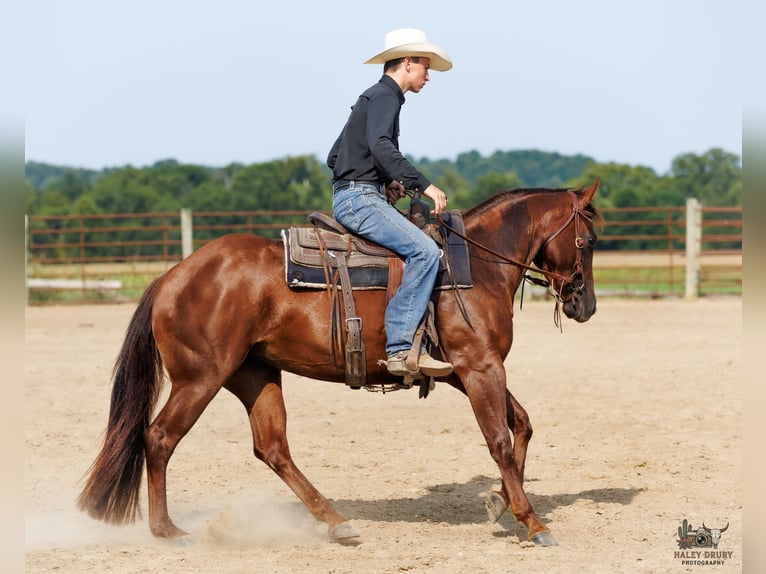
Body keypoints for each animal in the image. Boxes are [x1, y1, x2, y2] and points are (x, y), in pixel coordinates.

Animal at [77, 180, 602, 547]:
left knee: (272, 448)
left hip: (254, 375)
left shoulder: (464, 372)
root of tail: (172, 276)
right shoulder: (479, 369)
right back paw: (167, 530)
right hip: (199, 379)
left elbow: (522, 424)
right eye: (587, 241)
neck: (474, 265)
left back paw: (335, 522)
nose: (586, 305)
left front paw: (499, 501)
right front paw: (532, 522)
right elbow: (499, 440)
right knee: (159, 438)